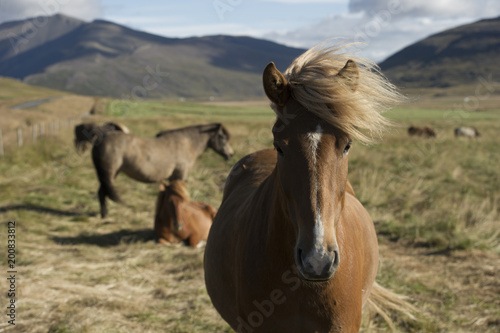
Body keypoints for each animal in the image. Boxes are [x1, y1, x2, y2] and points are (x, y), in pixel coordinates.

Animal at [91, 122, 232, 218]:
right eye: (222, 136)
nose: (230, 154)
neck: (188, 143)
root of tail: (101, 138)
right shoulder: (180, 174)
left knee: (101, 192)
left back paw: (104, 214)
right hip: (109, 173)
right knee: (102, 192)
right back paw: (105, 214)